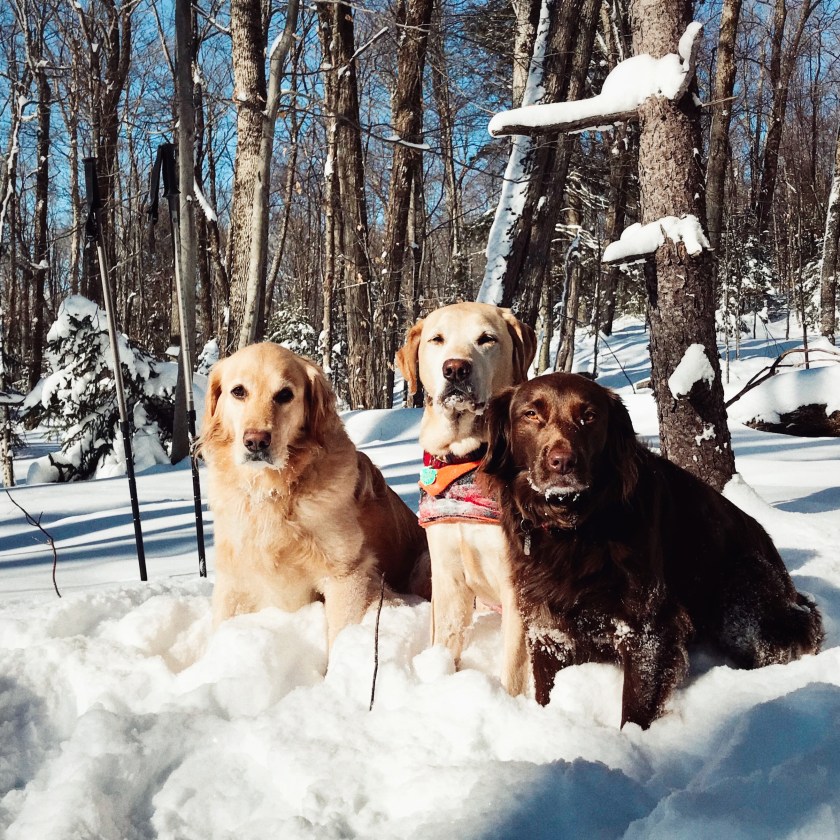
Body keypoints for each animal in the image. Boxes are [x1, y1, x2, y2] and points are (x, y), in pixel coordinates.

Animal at [197, 342, 429, 649]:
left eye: (285, 394)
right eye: (238, 391)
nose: (256, 441)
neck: (273, 490)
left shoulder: (346, 574)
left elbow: (340, 639)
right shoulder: (232, 576)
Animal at [396, 302, 537, 694]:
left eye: (486, 339)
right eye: (437, 339)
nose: (456, 368)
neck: (466, 460)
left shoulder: (516, 584)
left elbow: (513, 669)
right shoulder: (446, 570)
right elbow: (444, 639)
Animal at [481, 372, 824, 729]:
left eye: (589, 416)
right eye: (531, 414)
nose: (563, 463)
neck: (574, 528)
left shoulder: (649, 627)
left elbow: (635, 710)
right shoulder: (546, 625)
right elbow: (544, 692)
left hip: (743, 594)